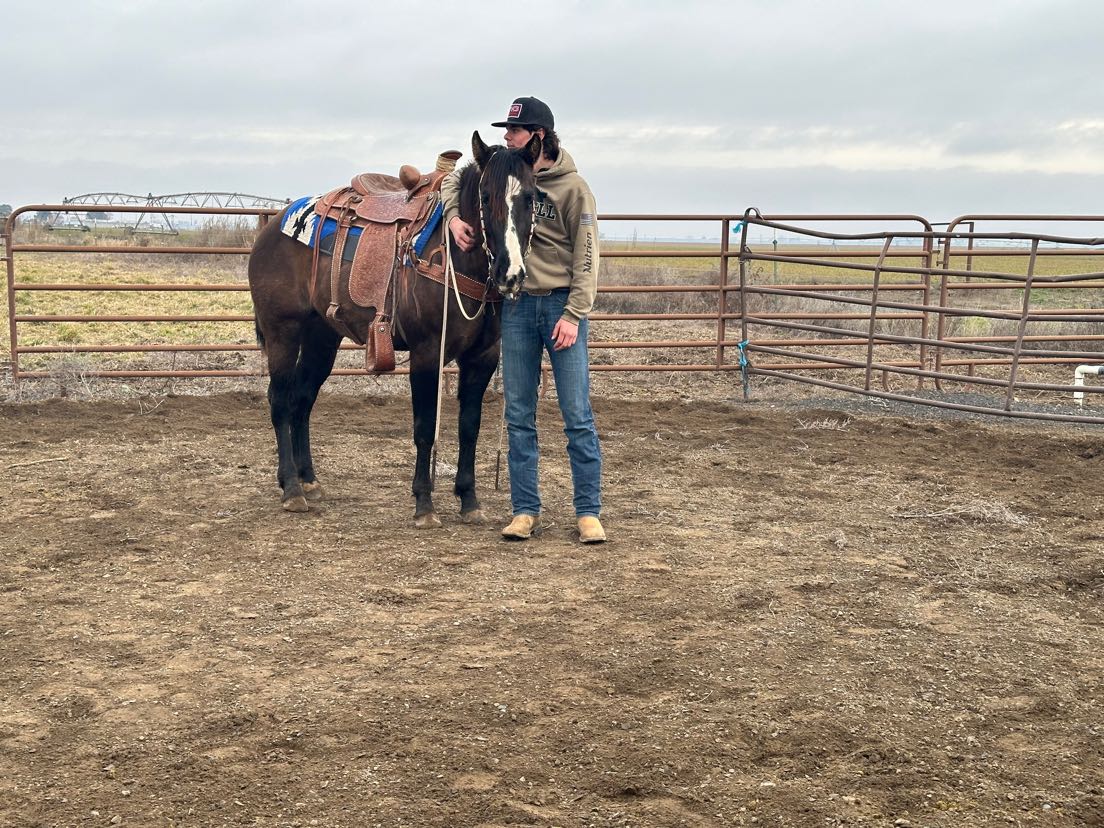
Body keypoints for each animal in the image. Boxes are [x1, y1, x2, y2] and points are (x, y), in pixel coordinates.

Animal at [247, 131, 542, 526]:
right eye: (485, 198)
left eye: (530, 197)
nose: (510, 274)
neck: (457, 257)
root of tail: (273, 226)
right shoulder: (427, 353)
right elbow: (424, 428)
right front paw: (424, 504)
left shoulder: (483, 358)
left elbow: (469, 427)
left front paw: (469, 500)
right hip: (283, 331)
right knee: (280, 400)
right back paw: (292, 489)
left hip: (321, 337)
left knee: (302, 399)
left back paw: (309, 480)